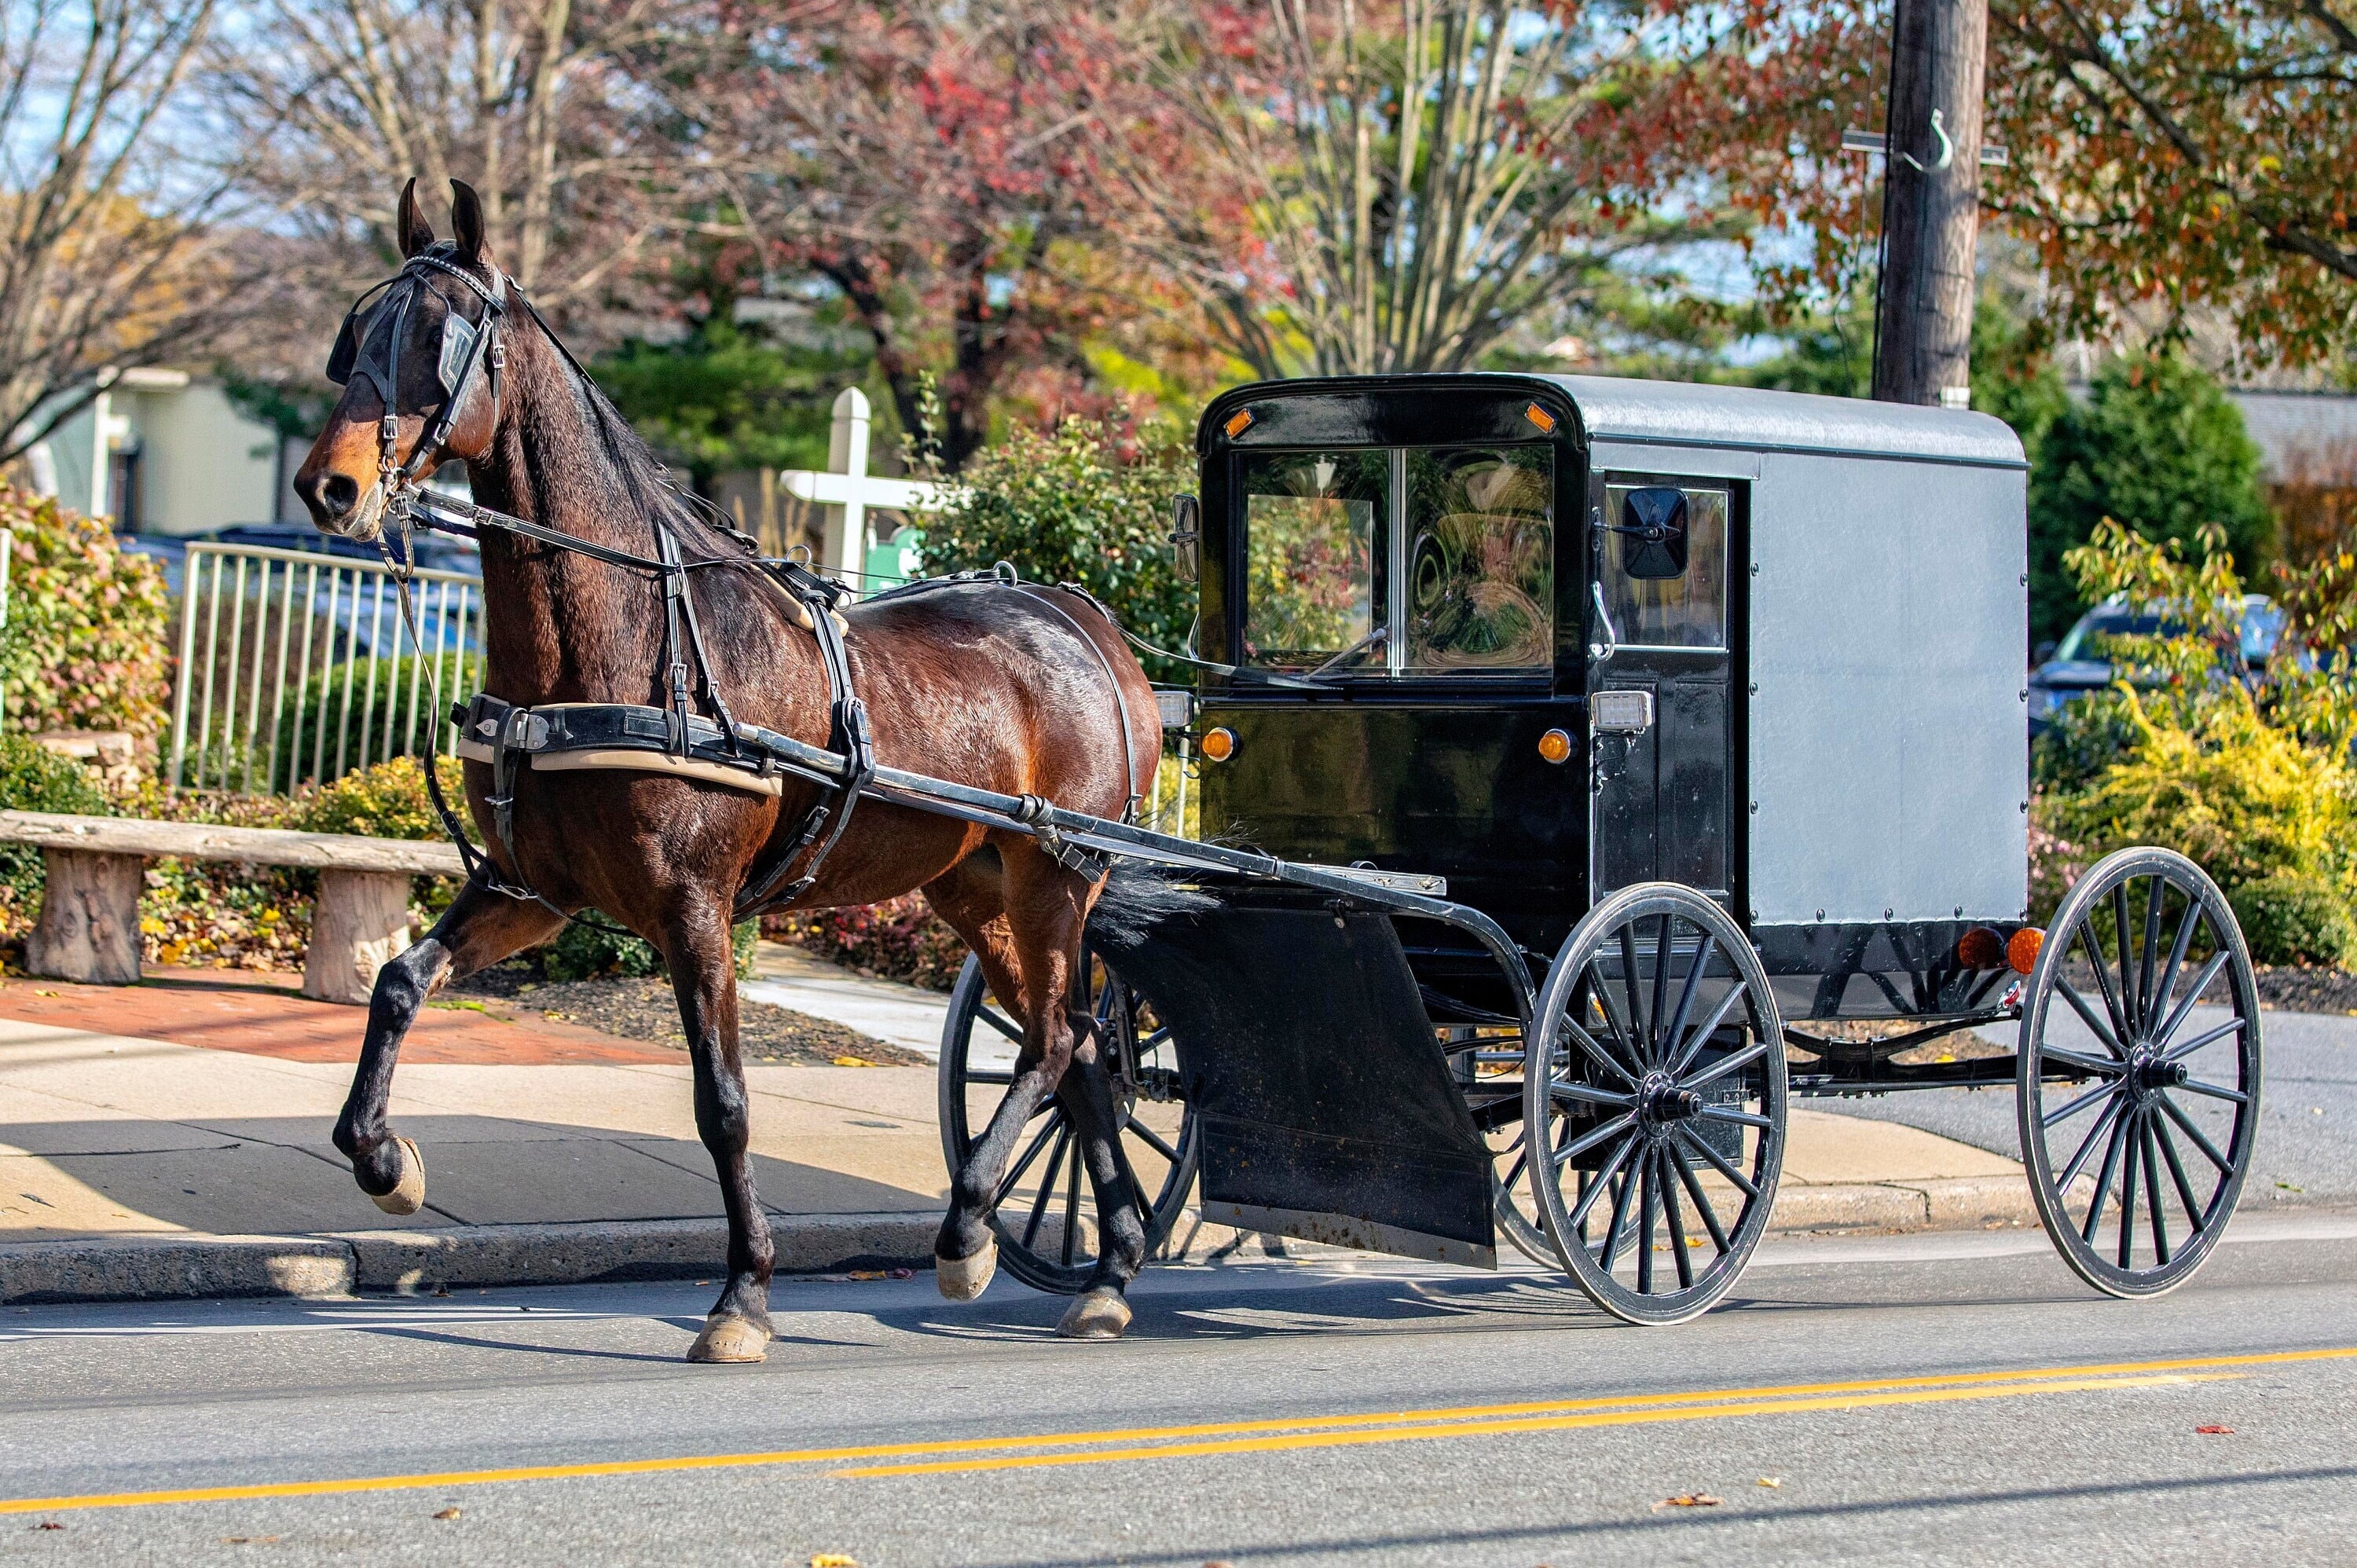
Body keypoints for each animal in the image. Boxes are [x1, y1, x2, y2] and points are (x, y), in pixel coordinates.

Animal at [292, 178, 1162, 1361]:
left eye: (437, 338)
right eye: (355, 335)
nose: (328, 487)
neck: (625, 640)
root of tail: (1087, 623)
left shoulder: (694, 906)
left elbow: (725, 1102)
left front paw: (743, 1294)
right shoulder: (534, 888)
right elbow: (395, 984)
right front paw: (386, 1162)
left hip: (1057, 877)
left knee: (1058, 1040)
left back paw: (970, 1227)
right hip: (975, 886)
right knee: (1071, 1046)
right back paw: (1104, 1266)